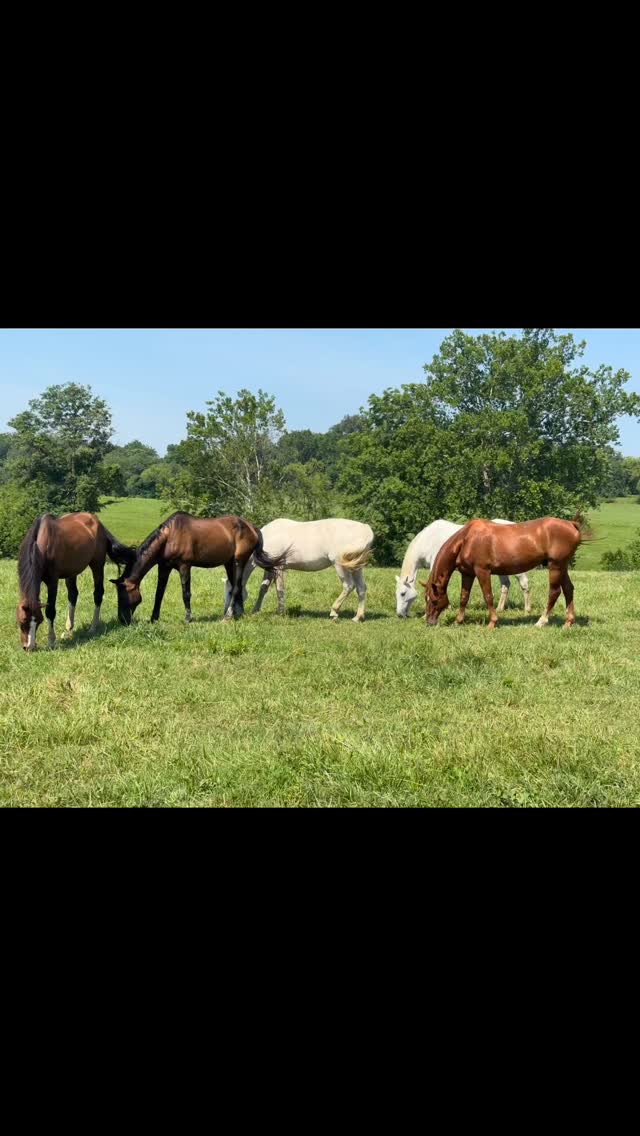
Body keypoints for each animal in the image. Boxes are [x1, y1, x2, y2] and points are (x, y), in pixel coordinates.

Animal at [16, 513, 136, 651]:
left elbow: (50, 611)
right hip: (71, 572)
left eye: (39, 621)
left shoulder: (52, 582)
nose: (28, 647)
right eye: (22, 621)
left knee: (98, 593)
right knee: (73, 595)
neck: (41, 544)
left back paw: (93, 627)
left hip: (97, 564)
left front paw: (51, 641)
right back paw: (69, 630)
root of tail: (98, 522)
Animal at [111, 512, 287, 625]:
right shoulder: (164, 567)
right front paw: (154, 618)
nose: (122, 620)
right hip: (229, 563)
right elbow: (159, 594)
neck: (169, 536)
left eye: (122, 596)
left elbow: (186, 593)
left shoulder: (184, 566)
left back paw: (228, 616)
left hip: (239, 561)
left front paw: (188, 618)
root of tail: (252, 527)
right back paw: (239, 613)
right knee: (237, 587)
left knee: (236, 587)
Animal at [225, 518, 375, 622]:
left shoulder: (278, 568)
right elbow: (263, 588)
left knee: (348, 586)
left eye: (229, 592)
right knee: (361, 588)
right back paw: (358, 617)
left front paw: (280, 612)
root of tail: (365, 528)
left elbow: (279, 589)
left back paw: (334, 611)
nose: (226, 613)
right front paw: (256, 610)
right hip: (355, 567)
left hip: (339, 564)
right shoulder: (270, 568)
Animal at [396, 519, 531, 618]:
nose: (400, 614)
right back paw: (500, 608)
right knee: (505, 585)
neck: (428, 539)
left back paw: (527, 609)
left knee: (524, 584)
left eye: (403, 593)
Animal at [423, 516, 586, 630]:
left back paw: (541, 621)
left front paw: (492, 622)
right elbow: (463, 597)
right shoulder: (468, 574)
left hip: (556, 566)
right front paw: (458, 621)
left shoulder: (482, 571)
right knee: (568, 589)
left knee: (554, 592)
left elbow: (488, 596)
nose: (429, 622)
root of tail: (571, 524)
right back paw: (568, 622)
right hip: (562, 566)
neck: (467, 539)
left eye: (434, 600)